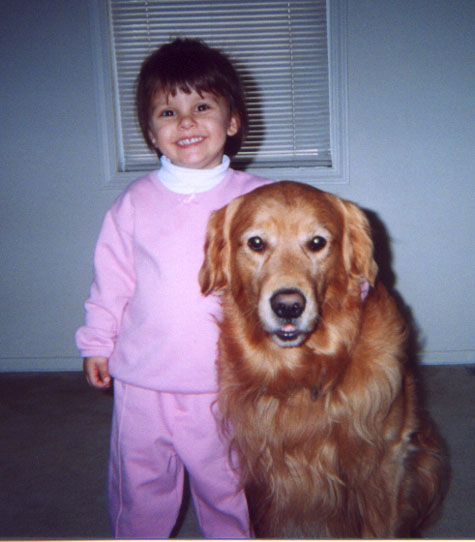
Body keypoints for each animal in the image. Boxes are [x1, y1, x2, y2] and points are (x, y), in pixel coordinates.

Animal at [199, 181, 445, 538]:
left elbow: (380, 525)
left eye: (317, 242)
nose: (288, 306)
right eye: (256, 243)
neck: (305, 372)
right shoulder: (262, 467)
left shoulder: (384, 460)